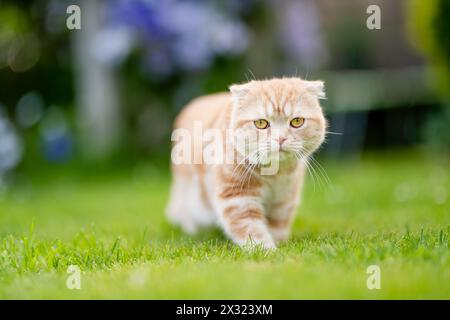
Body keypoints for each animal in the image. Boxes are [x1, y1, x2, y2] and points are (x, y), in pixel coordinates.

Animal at [168, 77, 326, 250]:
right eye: (261, 123)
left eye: (297, 121)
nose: (280, 139)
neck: (274, 175)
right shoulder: (237, 197)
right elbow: (251, 229)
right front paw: (267, 250)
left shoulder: (283, 200)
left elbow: (277, 226)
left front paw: (279, 246)